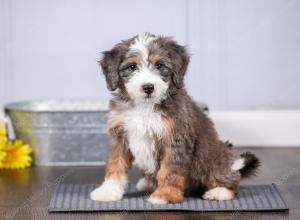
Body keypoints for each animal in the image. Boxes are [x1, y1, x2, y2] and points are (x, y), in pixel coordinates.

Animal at [89, 32, 260, 205]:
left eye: (159, 65)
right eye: (132, 67)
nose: (148, 87)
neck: (145, 106)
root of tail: (231, 165)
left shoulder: (175, 139)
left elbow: (170, 170)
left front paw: (164, 195)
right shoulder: (120, 136)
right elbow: (115, 164)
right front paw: (108, 191)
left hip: (210, 159)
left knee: (230, 181)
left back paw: (219, 192)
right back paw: (147, 183)